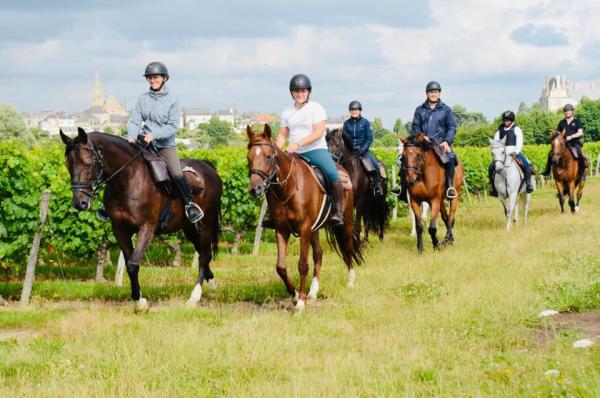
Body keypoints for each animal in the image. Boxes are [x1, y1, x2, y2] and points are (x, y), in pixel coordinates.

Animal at [60, 127, 223, 310]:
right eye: (68, 165)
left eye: (87, 163)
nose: (79, 203)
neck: (128, 179)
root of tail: (208, 167)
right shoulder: (120, 230)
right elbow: (129, 263)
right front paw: (138, 299)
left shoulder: (146, 227)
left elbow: (132, 264)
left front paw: (140, 303)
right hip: (187, 226)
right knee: (202, 251)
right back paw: (212, 285)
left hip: (206, 223)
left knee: (204, 255)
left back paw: (194, 297)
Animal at [246, 124, 364, 310]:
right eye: (248, 157)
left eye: (268, 156)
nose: (255, 189)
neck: (289, 188)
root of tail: (342, 171)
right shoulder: (282, 230)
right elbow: (280, 267)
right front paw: (294, 295)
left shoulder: (304, 229)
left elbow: (302, 264)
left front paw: (300, 302)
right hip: (315, 229)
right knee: (319, 254)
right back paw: (313, 292)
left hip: (345, 223)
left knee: (348, 247)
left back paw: (350, 281)